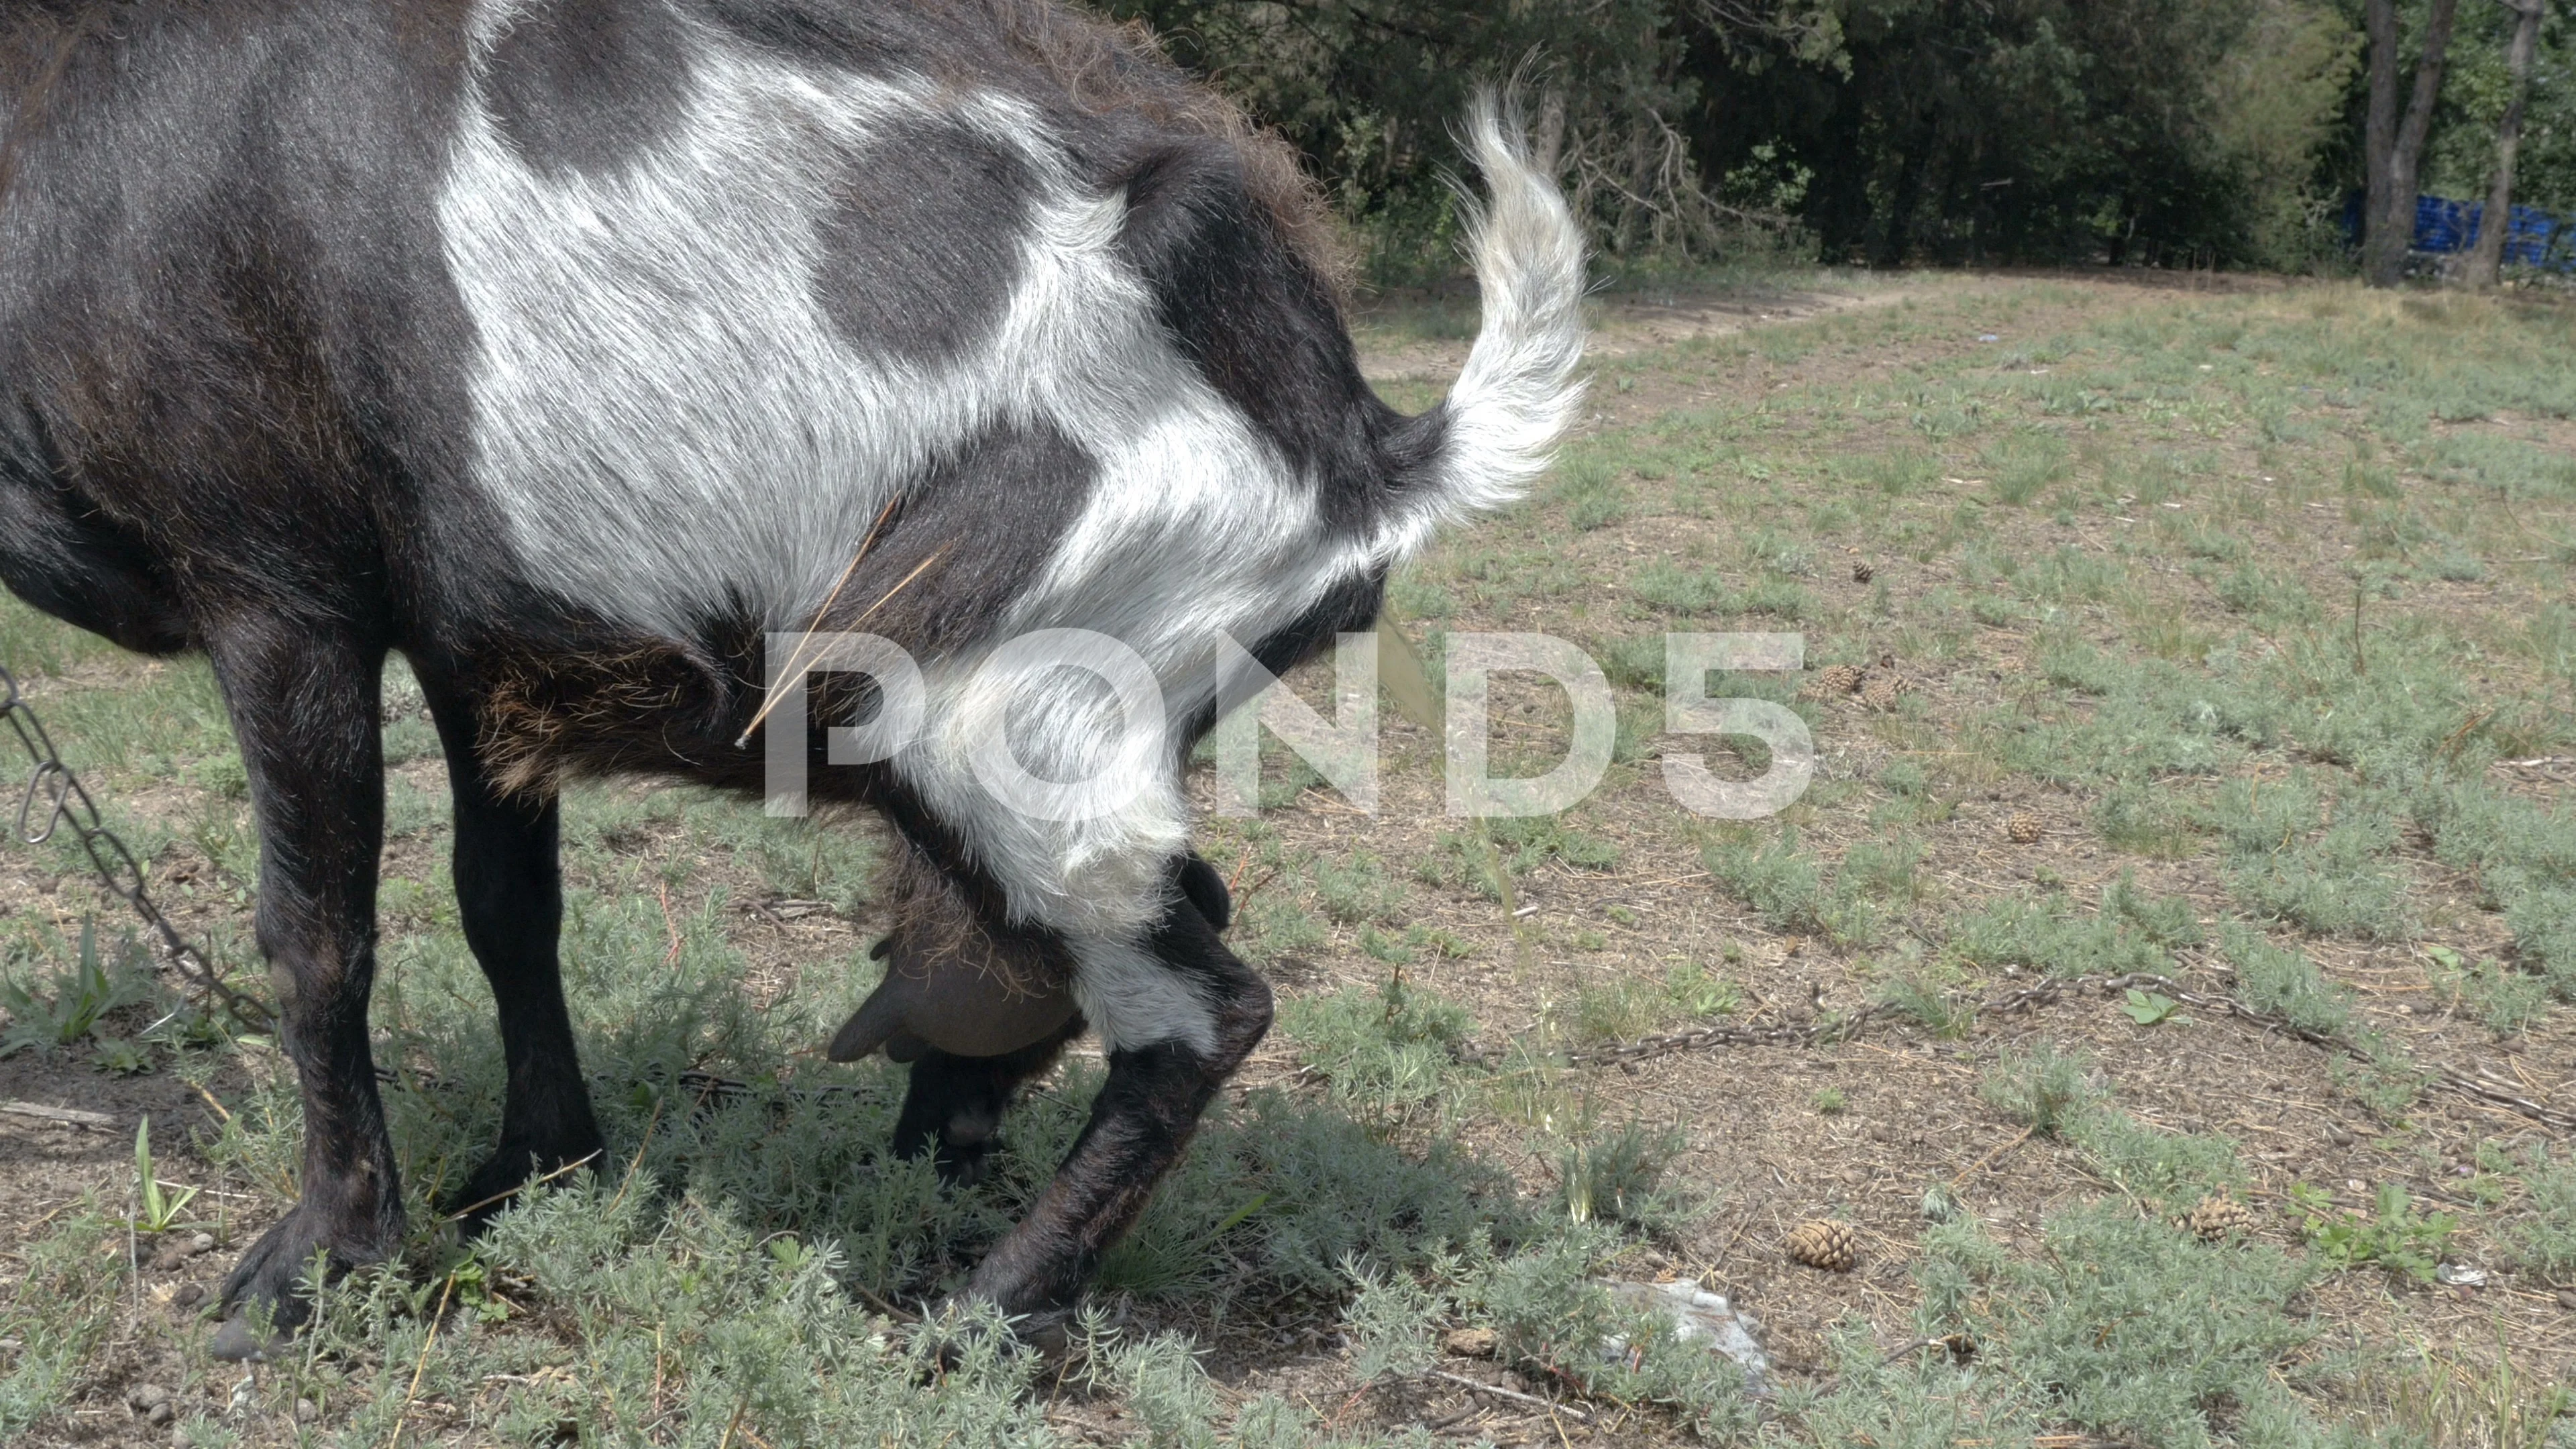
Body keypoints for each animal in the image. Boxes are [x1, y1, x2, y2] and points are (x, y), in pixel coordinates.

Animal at [0, 0, 1576, 1350]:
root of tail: (1369, 445)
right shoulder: (475, 647)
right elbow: (505, 906)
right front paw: (531, 1171)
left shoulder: (278, 588)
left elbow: (316, 937)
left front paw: (309, 1272)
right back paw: (939, 1159)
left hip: (984, 704)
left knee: (1207, 1008)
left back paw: (972, 1316)